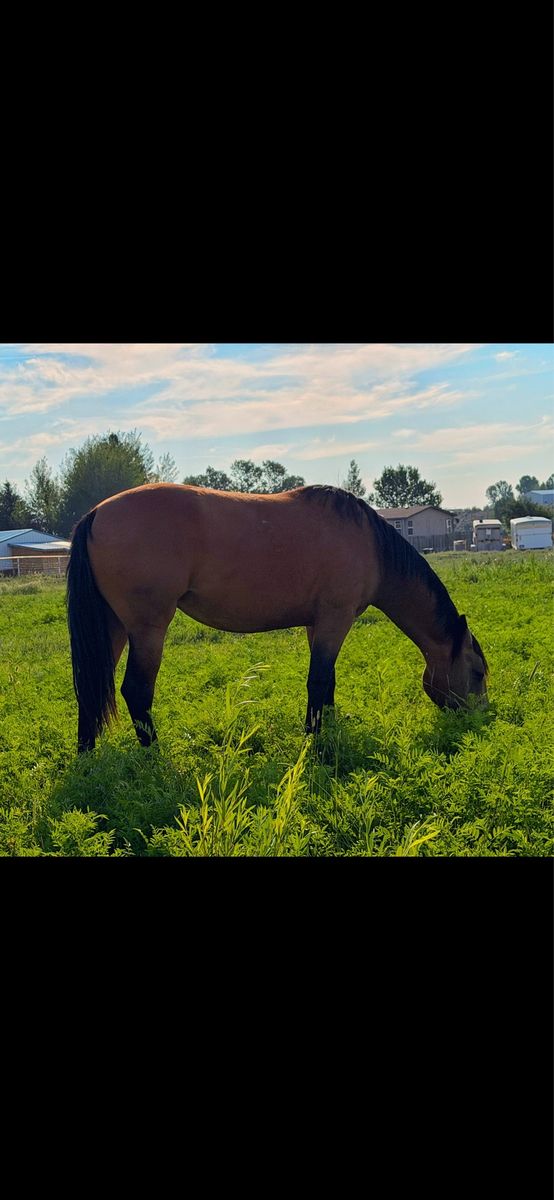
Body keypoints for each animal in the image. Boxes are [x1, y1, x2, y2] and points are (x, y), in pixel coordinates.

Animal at [66, 483, 488, 753]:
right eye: (478, 672)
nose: (479, 720)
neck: (370, 544)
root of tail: (96, 513)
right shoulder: (336, 619)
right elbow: (318, 682)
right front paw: (314, 741)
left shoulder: (318, 624)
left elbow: (327, 682)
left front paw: (327, 729)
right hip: (148, 630)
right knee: (136, 692)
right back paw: (153, 756)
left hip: (114, 628)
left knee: (90, 687)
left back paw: (87, 758)